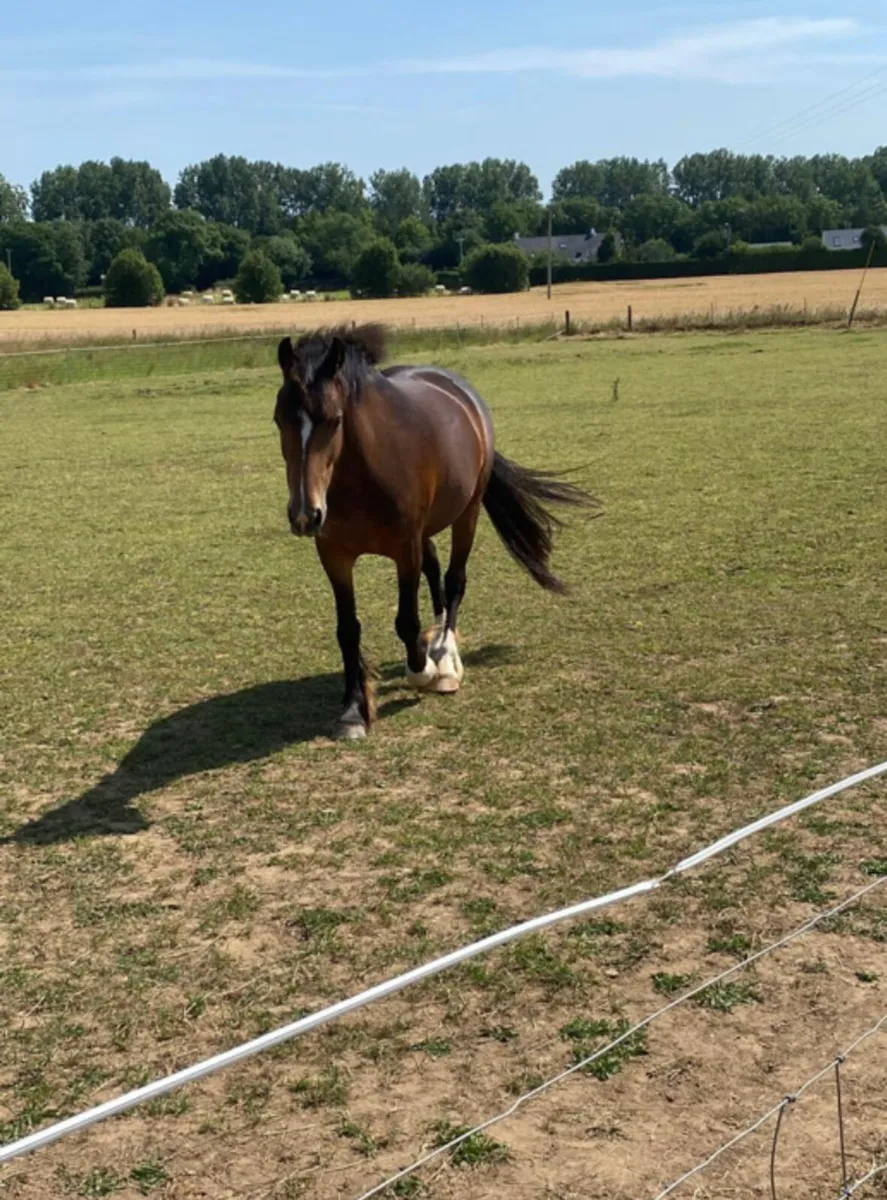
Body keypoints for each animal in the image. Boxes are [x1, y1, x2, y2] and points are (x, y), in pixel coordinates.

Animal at [273, 323, 595, 739]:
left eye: (335, 420)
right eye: (278, 420)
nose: (304, 515)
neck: (361, 477)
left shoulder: (404, 548)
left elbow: (406, 621)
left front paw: (423, 669)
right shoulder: (334, 555)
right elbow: (348, 629)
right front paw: (353, 710)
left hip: (467, 514)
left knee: (454, 580)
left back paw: (443, 656)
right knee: (436, 573)